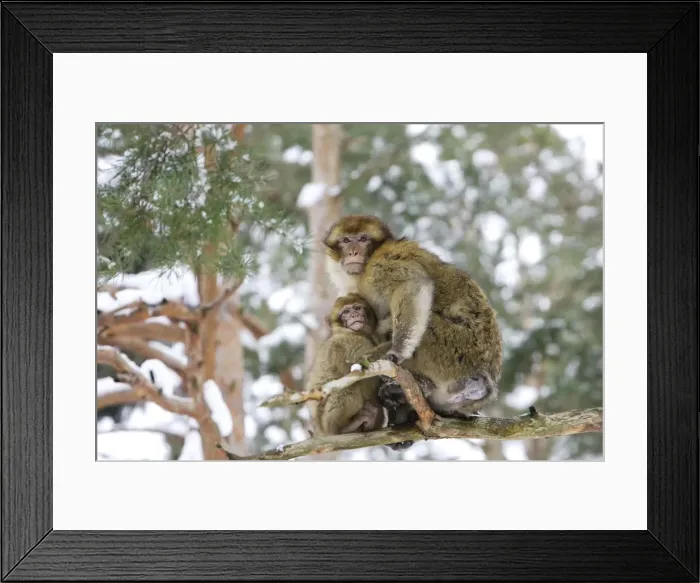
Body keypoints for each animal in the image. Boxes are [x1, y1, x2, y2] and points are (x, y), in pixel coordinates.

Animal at [305, 293, 387, 437]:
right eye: (346, 312)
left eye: (357, 308)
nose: (354, 315)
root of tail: (321, 431)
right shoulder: (350, 342)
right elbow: (360, 366)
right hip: (325, 420)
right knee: (348, 386)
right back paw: (342, 428)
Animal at [322, 214, 502, 431]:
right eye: (346, 240)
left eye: (363, 239)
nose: (353, 251)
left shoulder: (383, 264)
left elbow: (412, 285)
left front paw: (396, 352)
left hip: (457, 350)